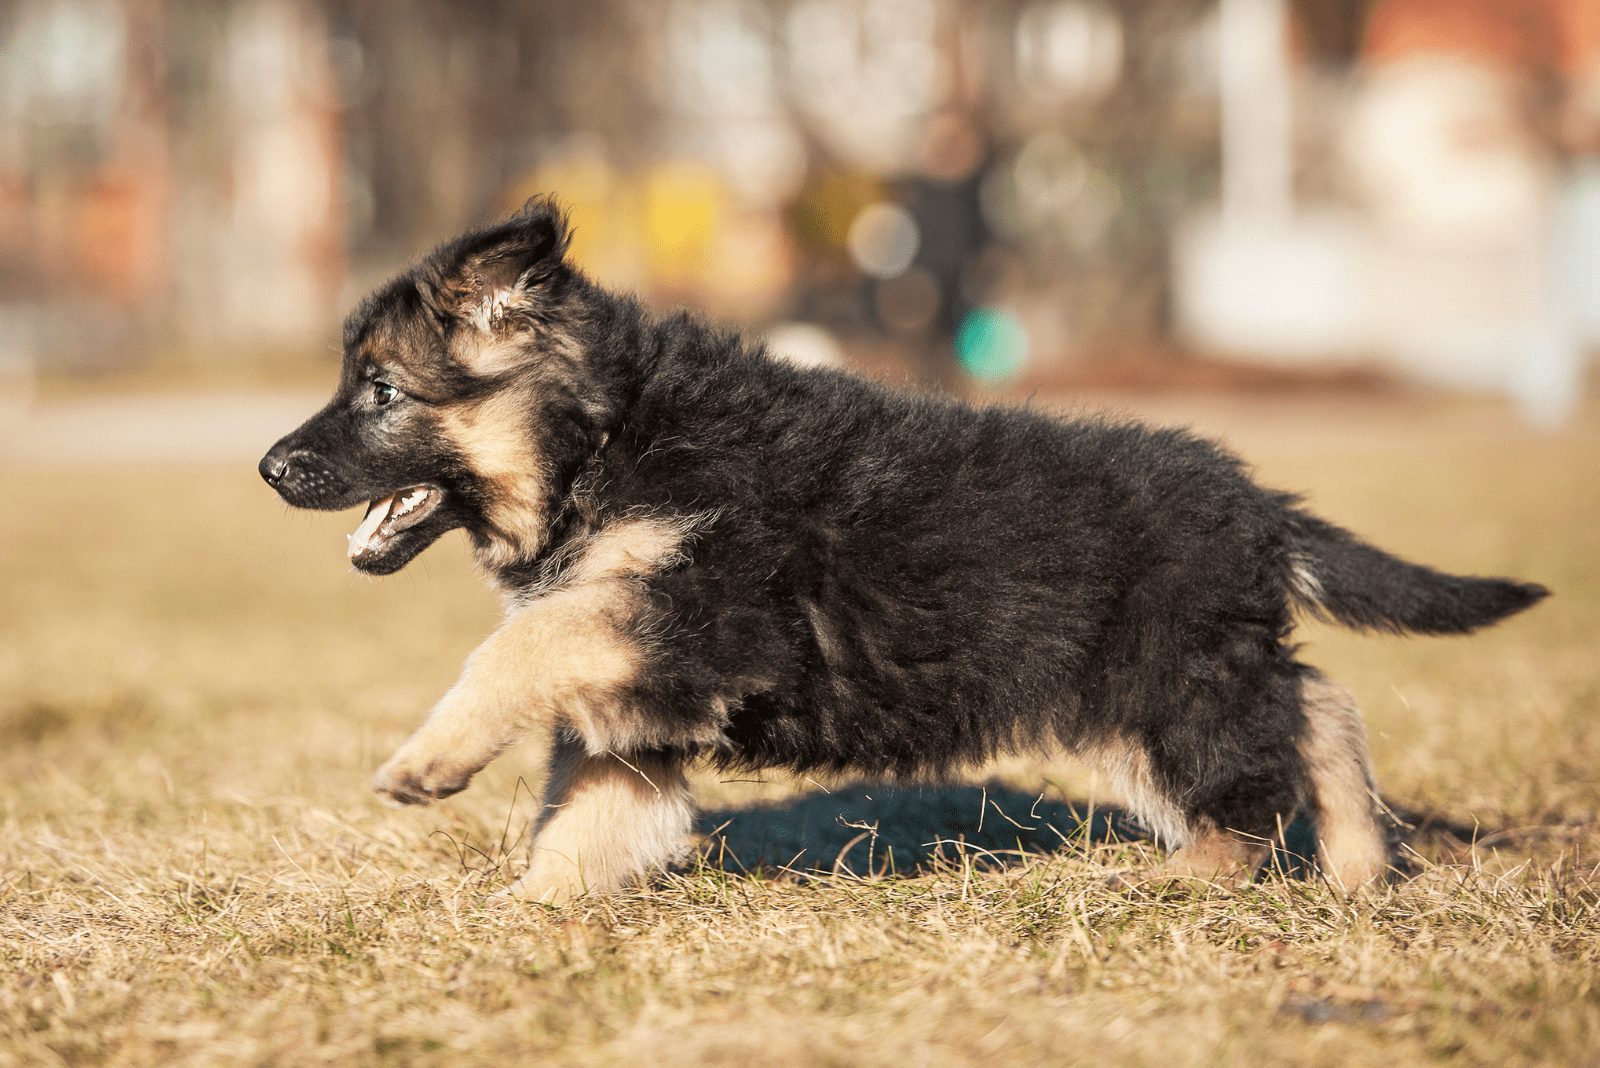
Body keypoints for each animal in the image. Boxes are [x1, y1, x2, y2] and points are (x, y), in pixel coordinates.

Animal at [262, 198, 1548, 901]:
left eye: (379, 391)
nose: (271, 468)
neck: (608, 436)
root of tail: (1256, 503)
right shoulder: (648, 683)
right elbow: (589, 807)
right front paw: (529, 913)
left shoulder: (693, 615)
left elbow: (517, 651)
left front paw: (428, 762)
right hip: (1176, 675)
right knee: (1318, 705)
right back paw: (1359, 870)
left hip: (1158, 683)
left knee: (1260, 768)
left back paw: (1200, 879)